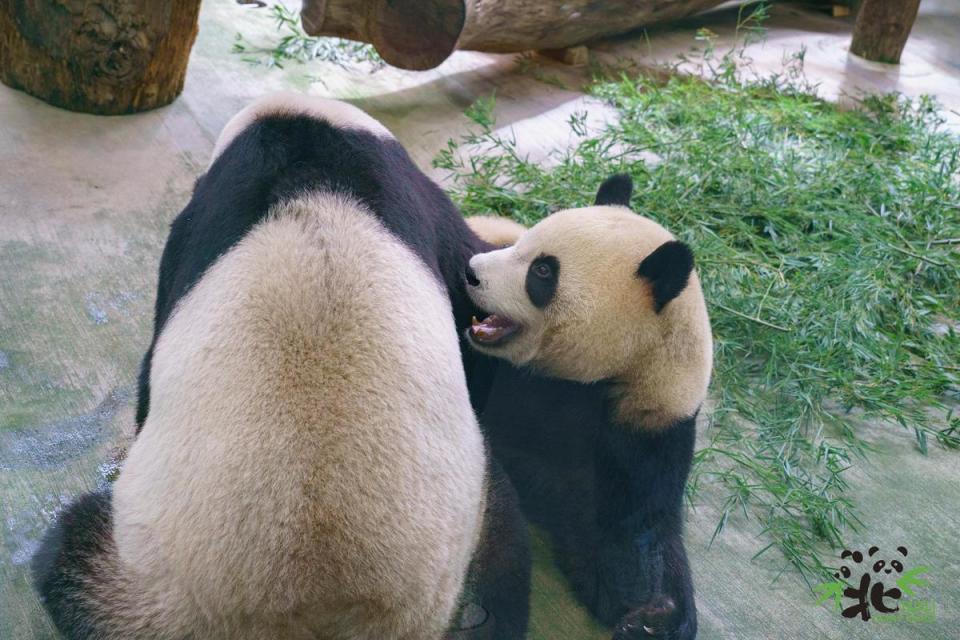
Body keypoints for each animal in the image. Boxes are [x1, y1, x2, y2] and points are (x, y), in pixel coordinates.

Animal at [458, 175, 712, 640]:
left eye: (542, 271)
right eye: (522, 244)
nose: (471, 271)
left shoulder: (644, 431)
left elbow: (628, 537)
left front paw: (654, 617)